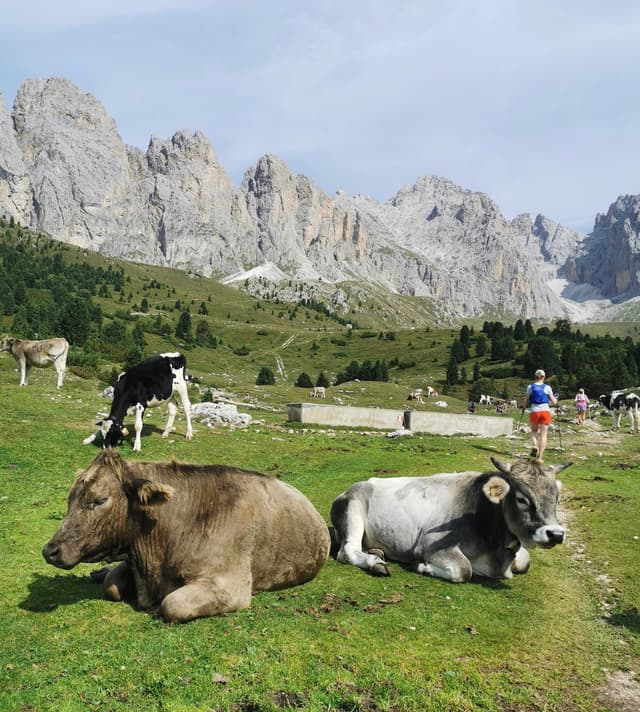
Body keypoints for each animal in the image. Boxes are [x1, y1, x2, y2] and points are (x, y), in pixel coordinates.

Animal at [43, 454, 330, 620]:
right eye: (70, 499)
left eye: (99, 500)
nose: (50, 550)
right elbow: (111, 585)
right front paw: (105, 574)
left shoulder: (230, 586)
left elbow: (171, 605)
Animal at [330, 458, 568, 580]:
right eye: (521, 499)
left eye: (557, 497)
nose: (555, 534)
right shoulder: (432, 546)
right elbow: (464, 570)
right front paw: (420, 566)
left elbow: (525, 562)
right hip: (353, 510)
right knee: (347, 551)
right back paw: (375, 563)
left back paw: (377, 553)